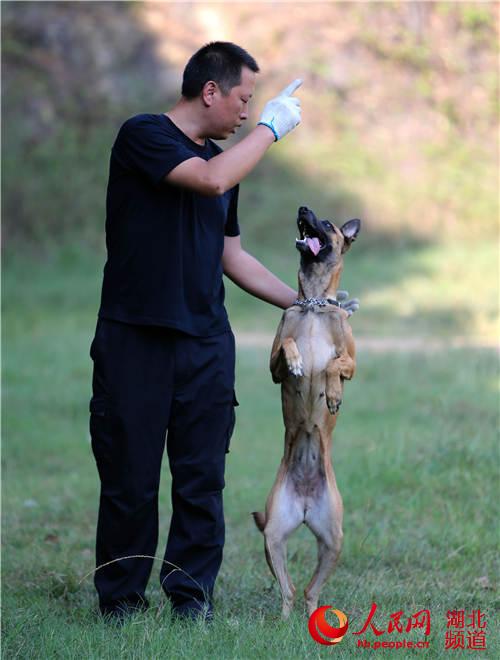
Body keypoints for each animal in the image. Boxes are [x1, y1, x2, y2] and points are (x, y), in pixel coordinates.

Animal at [254, 205, 360, 620]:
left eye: (328, 225)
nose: (302, 209)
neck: (313, 305)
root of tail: (303, 504)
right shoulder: (273, 364)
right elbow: (286, 344)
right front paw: (299, 362)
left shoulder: (353, 362)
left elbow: (334, 365)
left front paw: (331, 394)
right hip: (273, 535)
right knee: (290, 589)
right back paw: (283, 622)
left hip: (333, 539)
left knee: (310, 591)